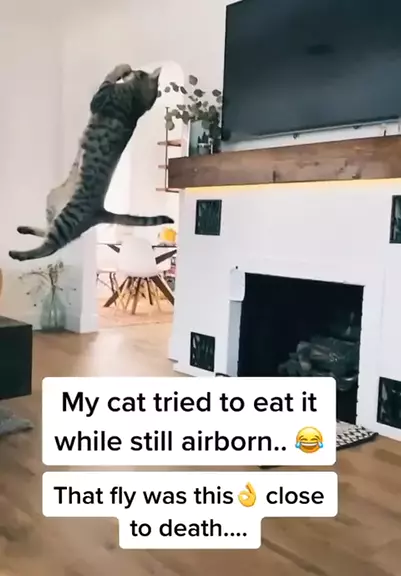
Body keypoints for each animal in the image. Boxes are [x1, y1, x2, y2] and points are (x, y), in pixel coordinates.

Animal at [9, 63, 173, 262]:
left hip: (67, 218)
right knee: (47, 232)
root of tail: (100, 210)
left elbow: (108, 79)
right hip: (52, 200)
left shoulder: (100, 98)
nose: (133, 70)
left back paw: (18, 254)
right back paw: (24, 229)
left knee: (49, 247)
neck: (137, 101)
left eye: (139, 72)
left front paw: (122, 68)